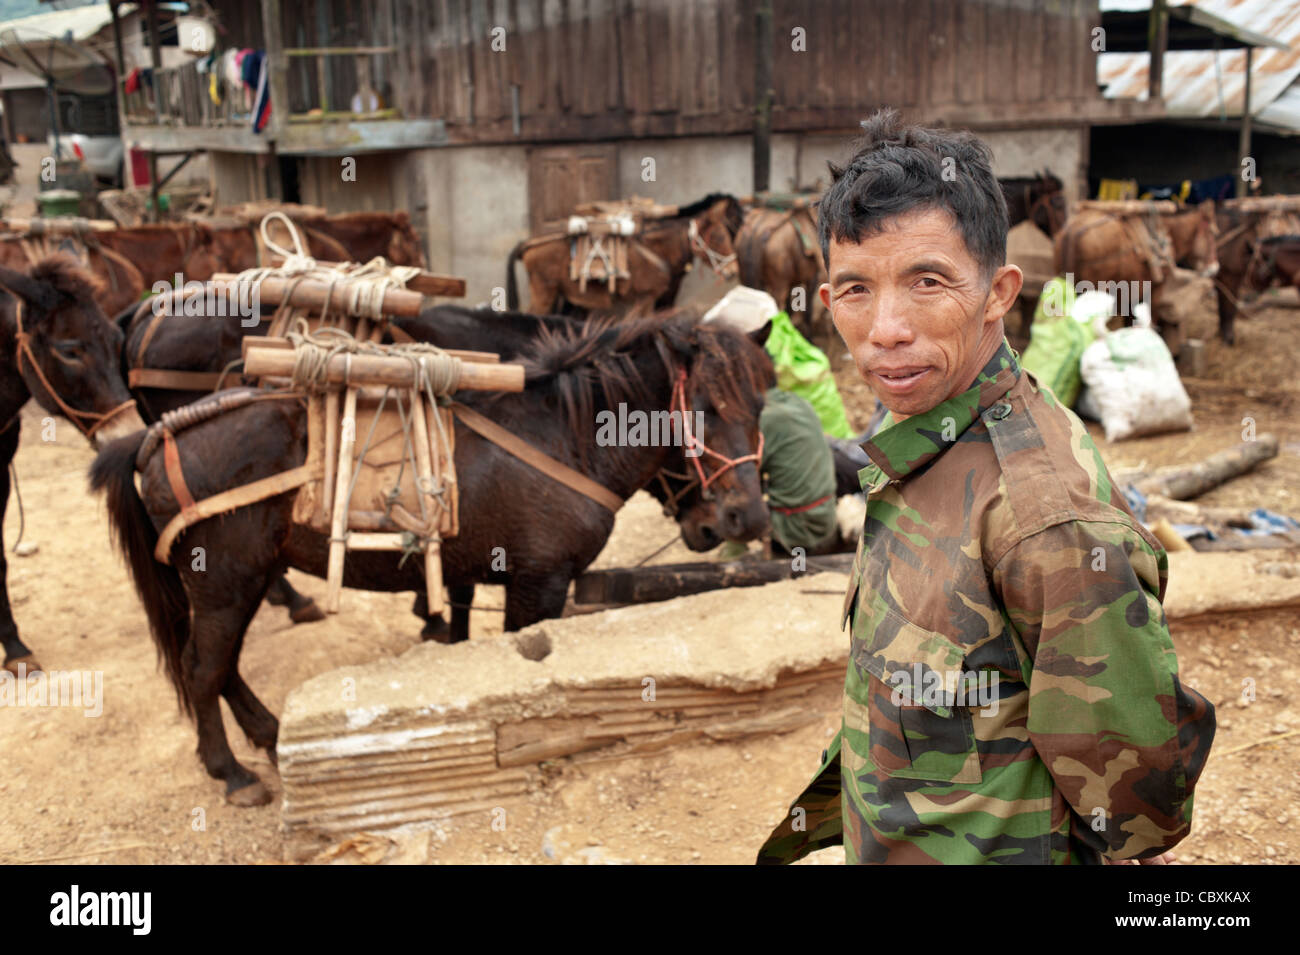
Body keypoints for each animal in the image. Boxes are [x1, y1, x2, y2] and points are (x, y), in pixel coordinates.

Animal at [501, 193, 743, 314]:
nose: (733, 270)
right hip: (543, 292)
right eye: (719, 237)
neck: (656, 249)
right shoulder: (645, 299)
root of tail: (528, 243)